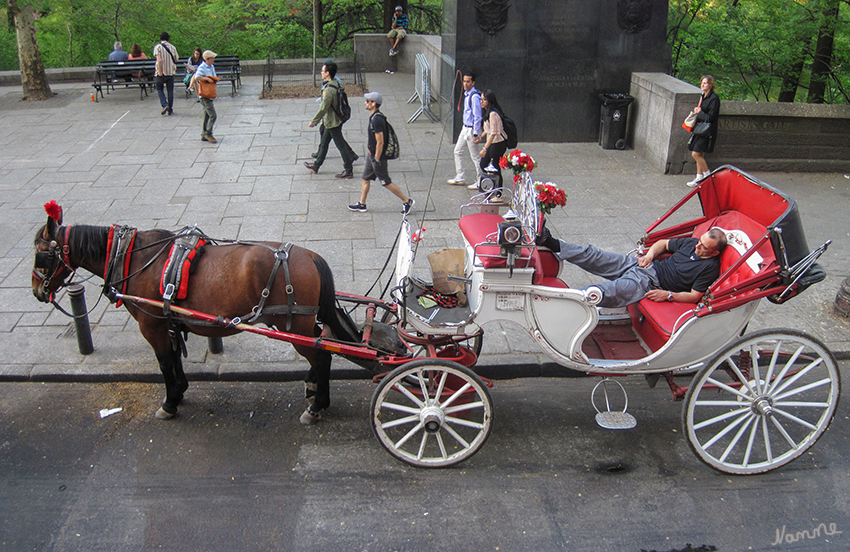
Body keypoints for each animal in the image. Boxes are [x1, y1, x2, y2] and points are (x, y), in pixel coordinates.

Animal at [33, 203, 354, 422]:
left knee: (322, 355)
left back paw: (317, 406)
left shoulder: (151, 325)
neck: (133, 257)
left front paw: (169, 402)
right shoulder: (168, 321)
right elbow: (175, 358)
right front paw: (180, 390)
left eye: (41, 254)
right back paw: (312, 386)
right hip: (301, 323)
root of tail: (310, 255)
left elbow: (164, 362)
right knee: (320, 343)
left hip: (294, 323)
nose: (37, 291)